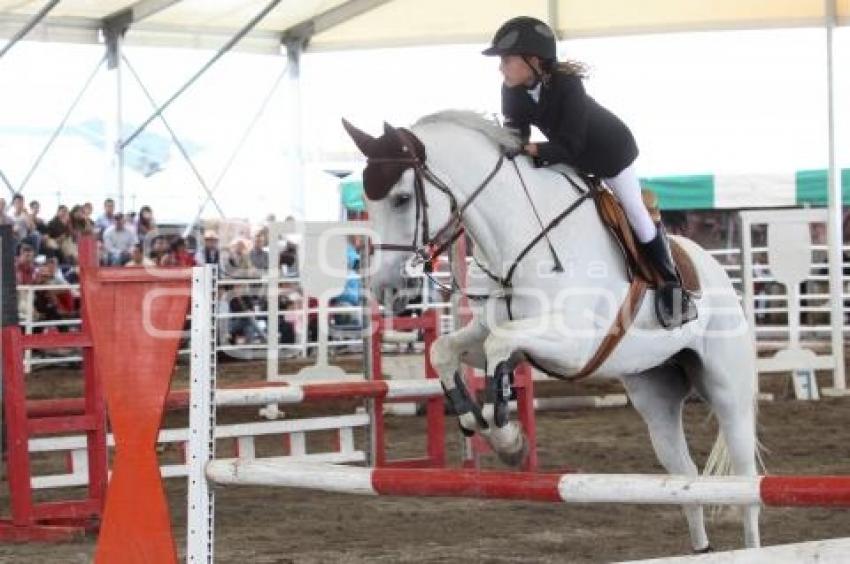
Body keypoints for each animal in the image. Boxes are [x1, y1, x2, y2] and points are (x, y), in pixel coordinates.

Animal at [342, 110, 760, 552]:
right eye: (366, 203)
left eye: (402, 198)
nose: (387, 289)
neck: (519, 238)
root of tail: (717, 271)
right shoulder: (497, 331)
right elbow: (447, 350)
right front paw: (477, 420)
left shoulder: (574, 346)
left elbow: (499, 349)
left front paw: (508, 438)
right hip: (654, 392)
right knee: (685, 476)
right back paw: (701, 549)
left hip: (726, 392)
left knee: (746, 479)